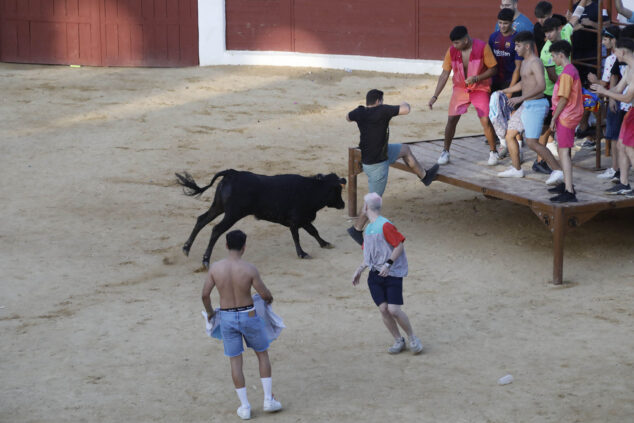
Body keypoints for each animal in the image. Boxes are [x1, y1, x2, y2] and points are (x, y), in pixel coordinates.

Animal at [175, 170, 346, 266]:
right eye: (337, 190)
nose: (343, 204)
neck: (311, 190)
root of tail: (232, 173)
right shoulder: (296, 220)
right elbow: (297, 237)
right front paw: (302, 254)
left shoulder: (303, 220)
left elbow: (314, 231)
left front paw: (325, 243)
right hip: (233, 214)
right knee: (216, 229)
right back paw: (205, 260)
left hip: (218, 207)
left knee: (201, 220)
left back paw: (186, 248)